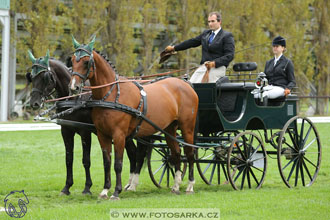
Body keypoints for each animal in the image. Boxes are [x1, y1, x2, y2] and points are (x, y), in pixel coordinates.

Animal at [69, 36, 199, 199]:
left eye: (86, 62)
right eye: (72, 60)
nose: (73, 87)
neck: (112, 94)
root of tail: (185, 83)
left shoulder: (119, 135)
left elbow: (118, 164)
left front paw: (116, 192)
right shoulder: (102, 135)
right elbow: (107, 163)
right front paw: (105, 190)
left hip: (187, 127)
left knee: (189, 153)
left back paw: (190, 185)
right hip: (170, 129)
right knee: (176, 153)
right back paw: (175, 186)